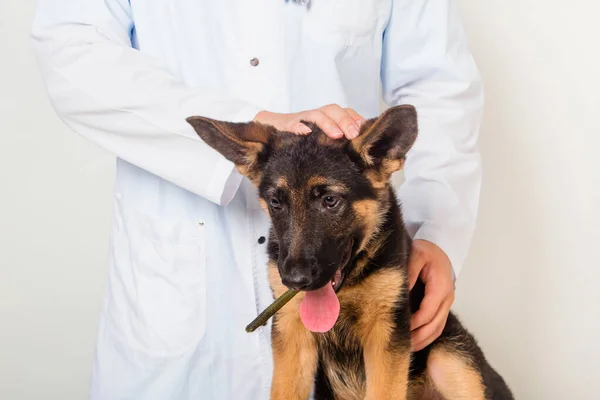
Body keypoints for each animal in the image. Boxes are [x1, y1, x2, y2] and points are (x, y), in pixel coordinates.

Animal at [186, 106, 510, 400]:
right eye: (276, 203)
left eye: (330, 200)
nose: (295, 280)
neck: (348, 285)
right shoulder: (291, 331)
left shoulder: (386, 334)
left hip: (450, 357)